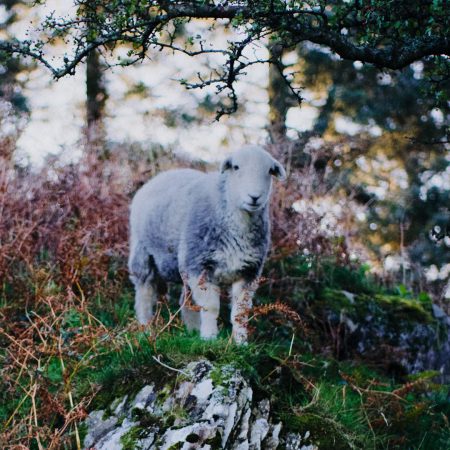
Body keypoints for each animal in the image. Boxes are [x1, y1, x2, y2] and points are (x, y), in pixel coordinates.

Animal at [128, 146, 286, 342]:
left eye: (269, 171)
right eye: (236, 167)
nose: (254, 197)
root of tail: (162, 175)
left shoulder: (249, 271)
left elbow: (240, 312)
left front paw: (241, 342)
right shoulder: (200, 265)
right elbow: (210, 307)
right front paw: (209, 337)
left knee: (186, 300)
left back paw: (192, 331)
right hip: (143, 252)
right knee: (145, 291)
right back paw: (146, 327)